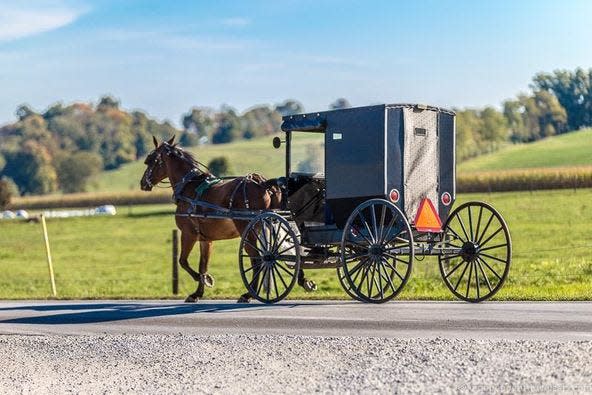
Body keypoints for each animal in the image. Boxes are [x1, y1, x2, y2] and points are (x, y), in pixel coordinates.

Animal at [141, 136, 316, 304]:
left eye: (149, 160)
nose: (143, 183)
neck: (189, 188)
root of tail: (263, 183)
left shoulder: (188, 234)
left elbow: (183, 261)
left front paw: (203, 279)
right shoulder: (205, 239)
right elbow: (203, 265)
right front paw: (198, 292)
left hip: (248, 230)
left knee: (258, 259)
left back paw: (248, 293)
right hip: (272, 223)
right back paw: (302, 280)